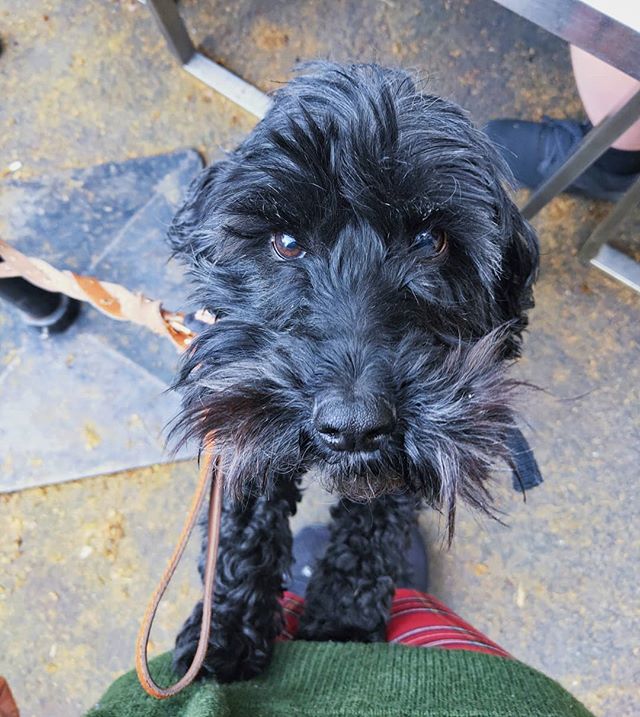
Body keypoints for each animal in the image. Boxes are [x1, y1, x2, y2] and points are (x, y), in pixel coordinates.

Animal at [168, 63, 536, 684]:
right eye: (286, 241)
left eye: (430, 241)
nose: (355, 425)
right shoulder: (237, 408)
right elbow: (241, 522)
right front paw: (224, 638)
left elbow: (374, 524)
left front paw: (341, 624)